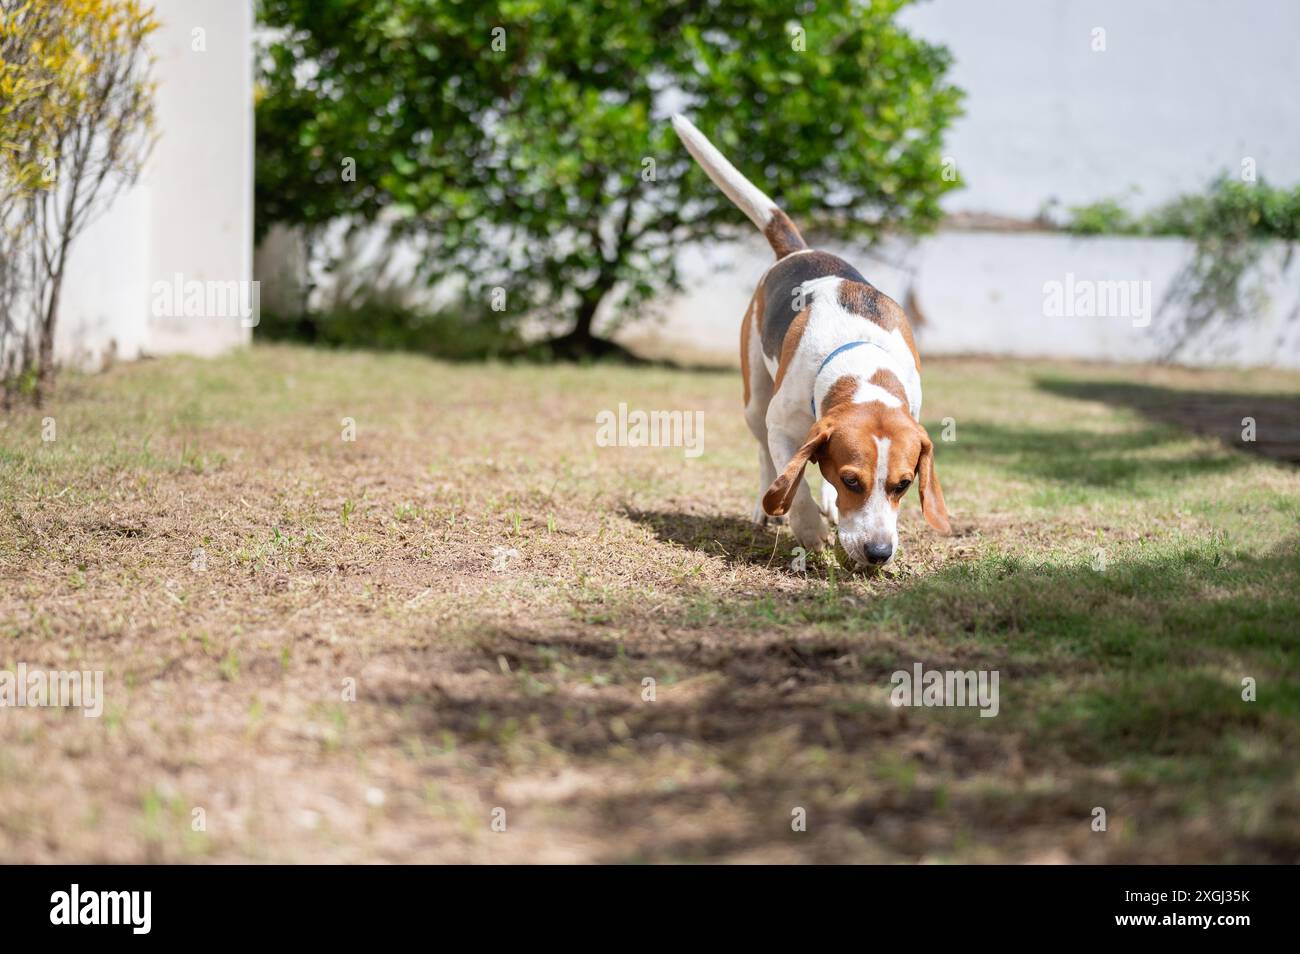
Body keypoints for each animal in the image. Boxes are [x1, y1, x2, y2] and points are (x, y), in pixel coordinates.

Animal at [676, 116, 951, 571]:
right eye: (851, 479)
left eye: (904, 484)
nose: (879, 553)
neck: (861, 362)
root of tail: (799, 251)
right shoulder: (782, 426)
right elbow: (795, 484)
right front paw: (808, 531)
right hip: (755, 404)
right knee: (766, 456)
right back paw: (768, 509)